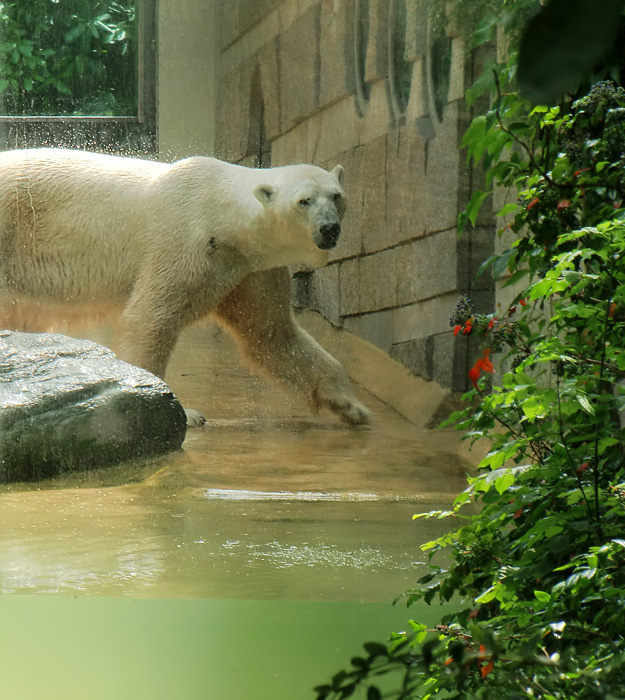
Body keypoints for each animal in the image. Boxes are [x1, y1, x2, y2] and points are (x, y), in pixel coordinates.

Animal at [0, 149, 368, 426]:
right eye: (304, 201)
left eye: (336, 196)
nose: (330, 228)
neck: (222, 214)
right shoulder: (182, 242)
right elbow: (151, 319)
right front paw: (180, 411)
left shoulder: (248, 269)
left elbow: (272, 334)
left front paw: (352, 406)